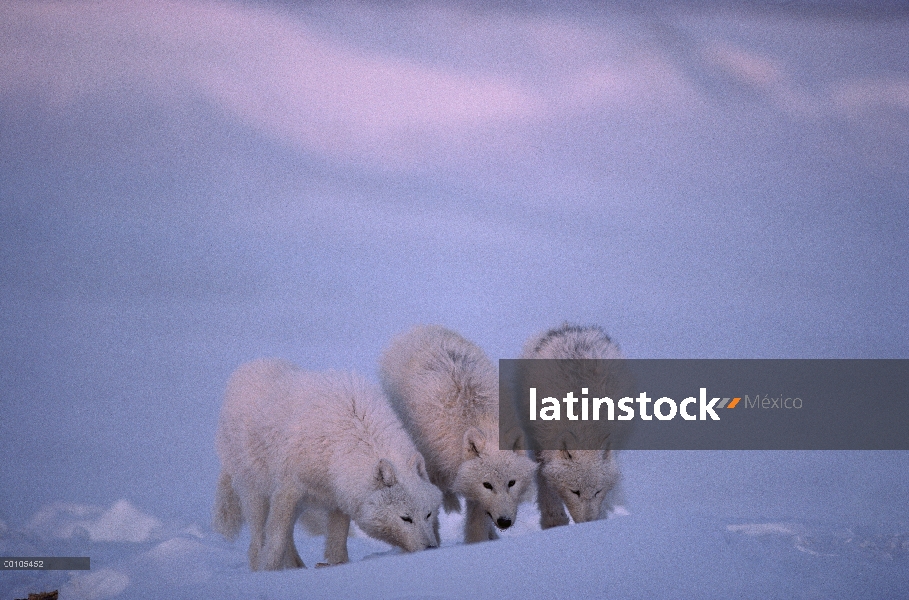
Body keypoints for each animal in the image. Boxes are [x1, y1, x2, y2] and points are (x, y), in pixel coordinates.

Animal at [213, 358, 440, 568]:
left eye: (428, 514)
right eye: (406, 518)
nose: (431, 549)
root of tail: (242, 370)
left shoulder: (339, 500)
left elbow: (337, 544)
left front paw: (337, 566)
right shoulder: (288, 491)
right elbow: (276, 540)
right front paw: (269, 570)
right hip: (256, 496)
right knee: (258, 542)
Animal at [378, 326, 536, 548]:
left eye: (511, 483)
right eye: (488, 485)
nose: (504, 521)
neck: (478, 417)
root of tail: (419, 328)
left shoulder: (475, 495)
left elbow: (477, 523)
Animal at [520, 324, 628, 528]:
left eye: (597, 492)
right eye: (574, 491)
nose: (587, 524)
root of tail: (570, 327)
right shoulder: (541, 444)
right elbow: (545, 482)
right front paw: (554, 520)